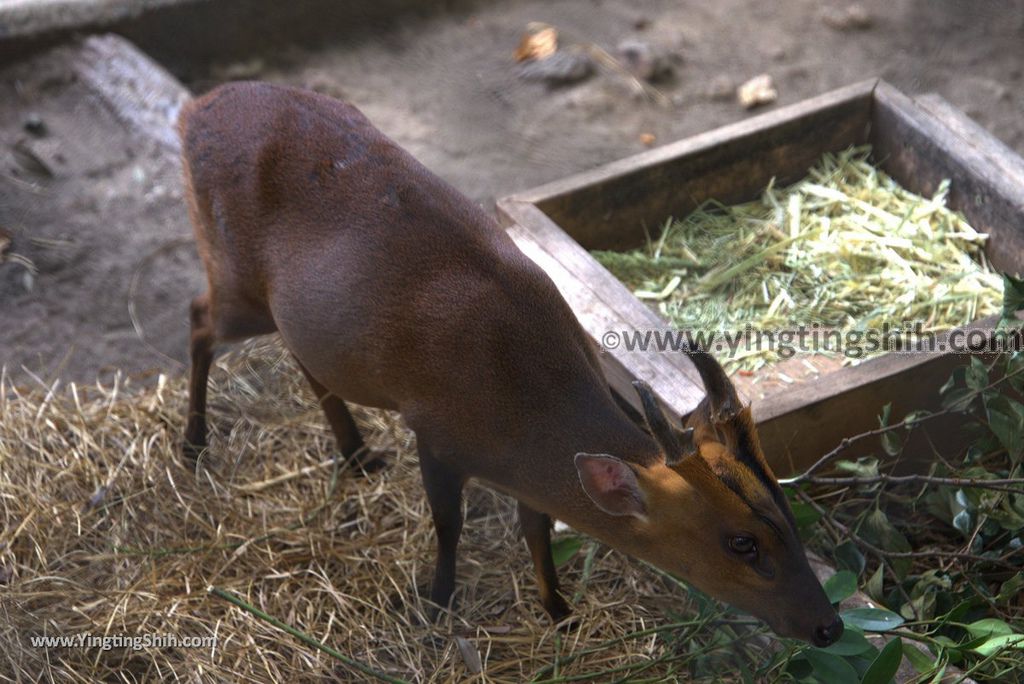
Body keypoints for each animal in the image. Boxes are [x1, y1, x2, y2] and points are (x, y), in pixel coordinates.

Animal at [180, 81, 843, 647]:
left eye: (786, 509)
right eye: (741, 543)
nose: (829, 626)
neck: (522, 403)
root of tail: (195, 109)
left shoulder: (525, 471)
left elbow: (537, 531)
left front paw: (559, 611)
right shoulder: (437, 434)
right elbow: (449, 523)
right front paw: (437, 603)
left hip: (293, 312)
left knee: (299, 355)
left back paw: (357, 453)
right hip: (236, 281)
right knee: (199, 318)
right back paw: (193, 443)